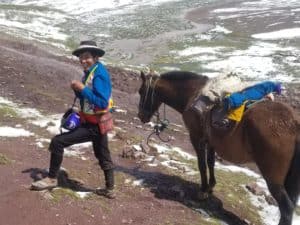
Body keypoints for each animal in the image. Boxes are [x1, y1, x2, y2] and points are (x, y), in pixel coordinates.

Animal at [138, 71, 300, 225]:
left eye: (141, 91)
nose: (141, 116)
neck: (193, 94)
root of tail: (293, 123)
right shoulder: (211, 141)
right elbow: (211, 163)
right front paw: (211, 187)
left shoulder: (196, 138)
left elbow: (202, 164)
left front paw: (203, 191)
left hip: (273, 179)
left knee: (286, 208)